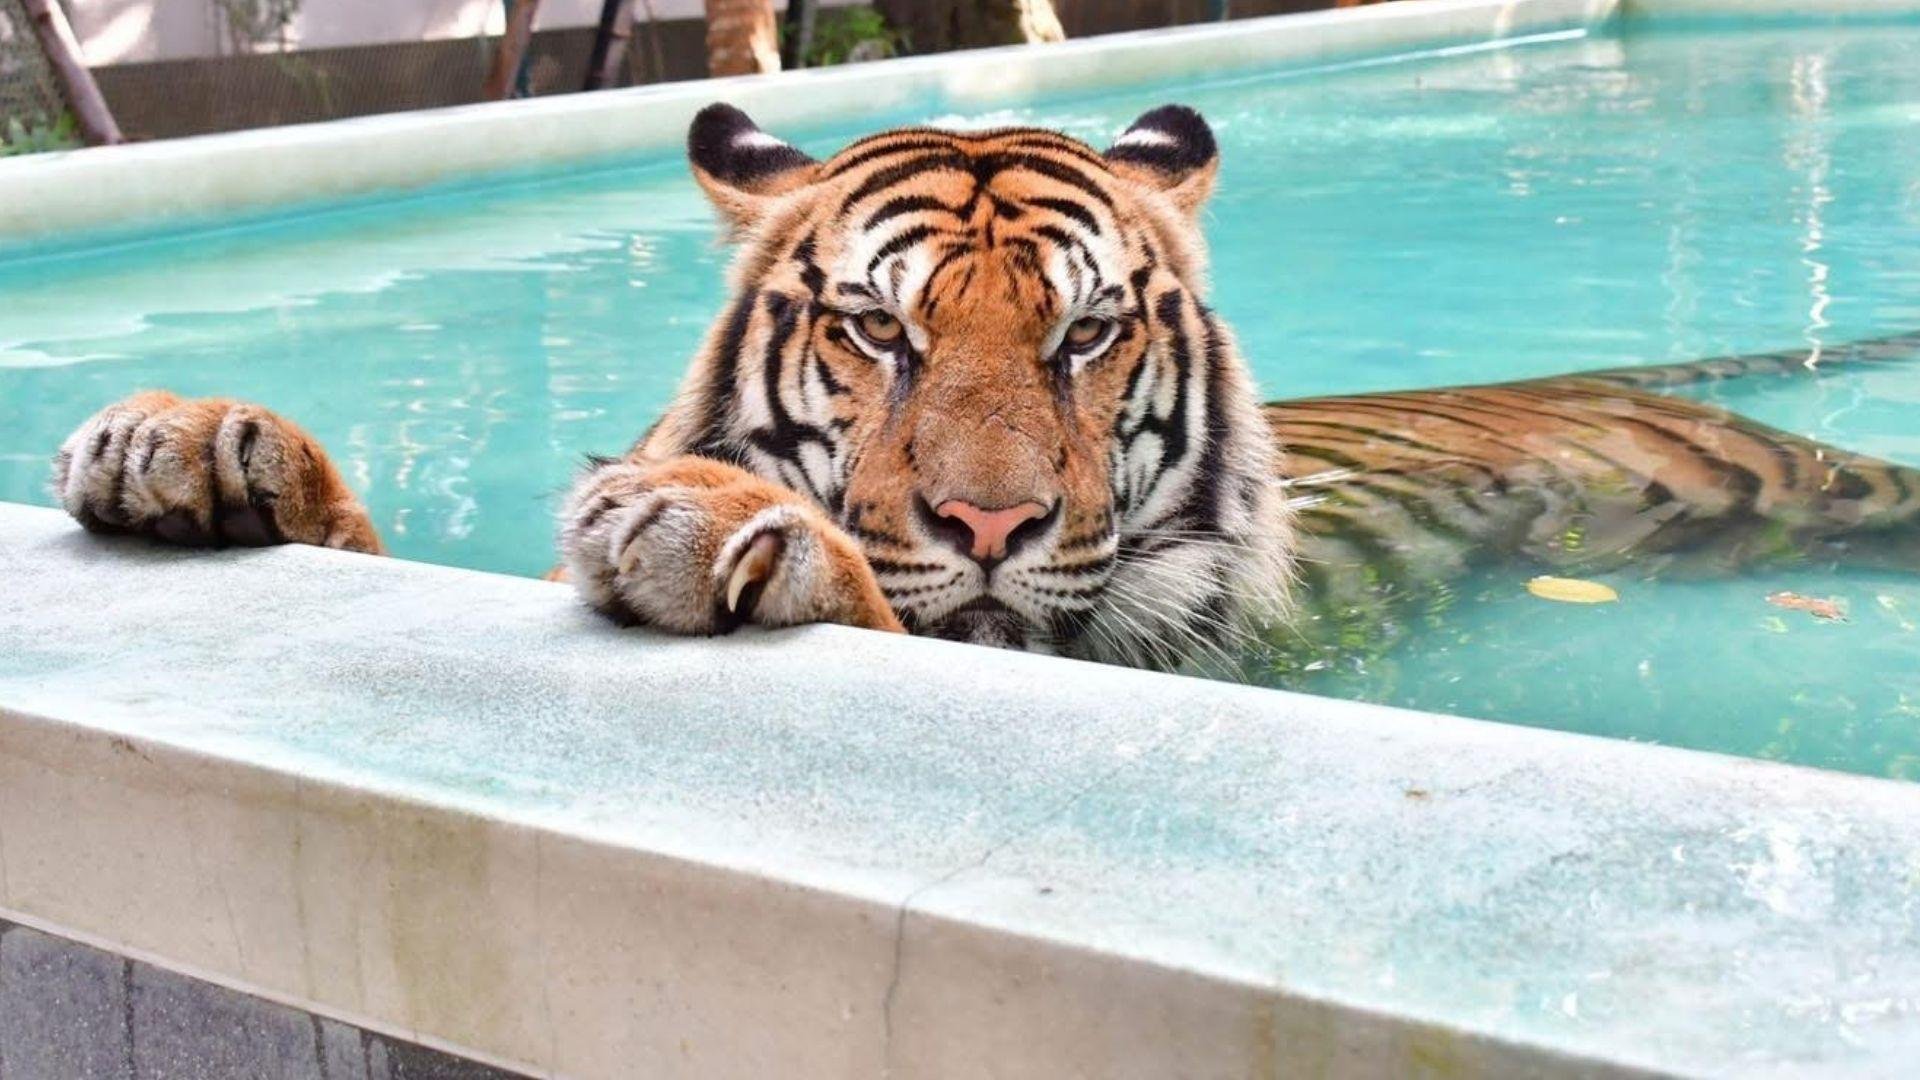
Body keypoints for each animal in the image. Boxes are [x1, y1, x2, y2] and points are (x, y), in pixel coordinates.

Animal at [48, 103, 1920, 675]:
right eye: (879, 334)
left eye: (1087, 336)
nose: (995, 522)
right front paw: (191, 442)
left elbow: (884, 603)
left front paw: (696, 524)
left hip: (1807, 491)